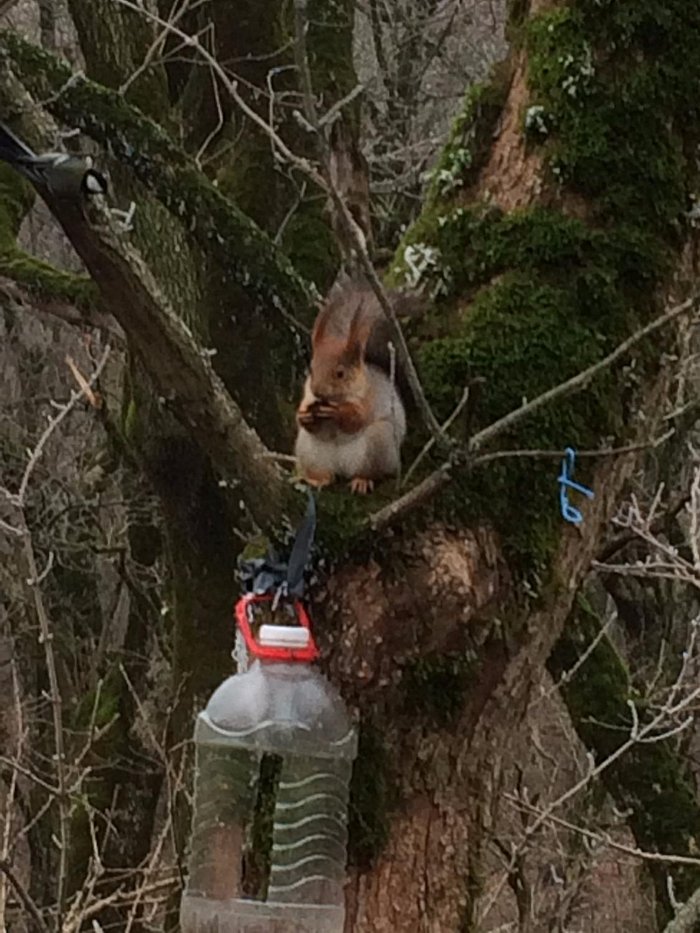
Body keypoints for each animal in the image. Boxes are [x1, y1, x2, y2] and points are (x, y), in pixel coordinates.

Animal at [294, 278, 404, 492]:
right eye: (311, 369)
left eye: (340, 373)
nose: (317, 390)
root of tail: (341, 467)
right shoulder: (307, 394)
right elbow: (304, 417)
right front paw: (303, 415)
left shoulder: (369, 398)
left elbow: (356, 420)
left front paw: (339, 412)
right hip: (309, 451)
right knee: (325, 473)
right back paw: (318, 479)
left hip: (379, 444)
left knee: (371, 471)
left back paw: (362, 480)